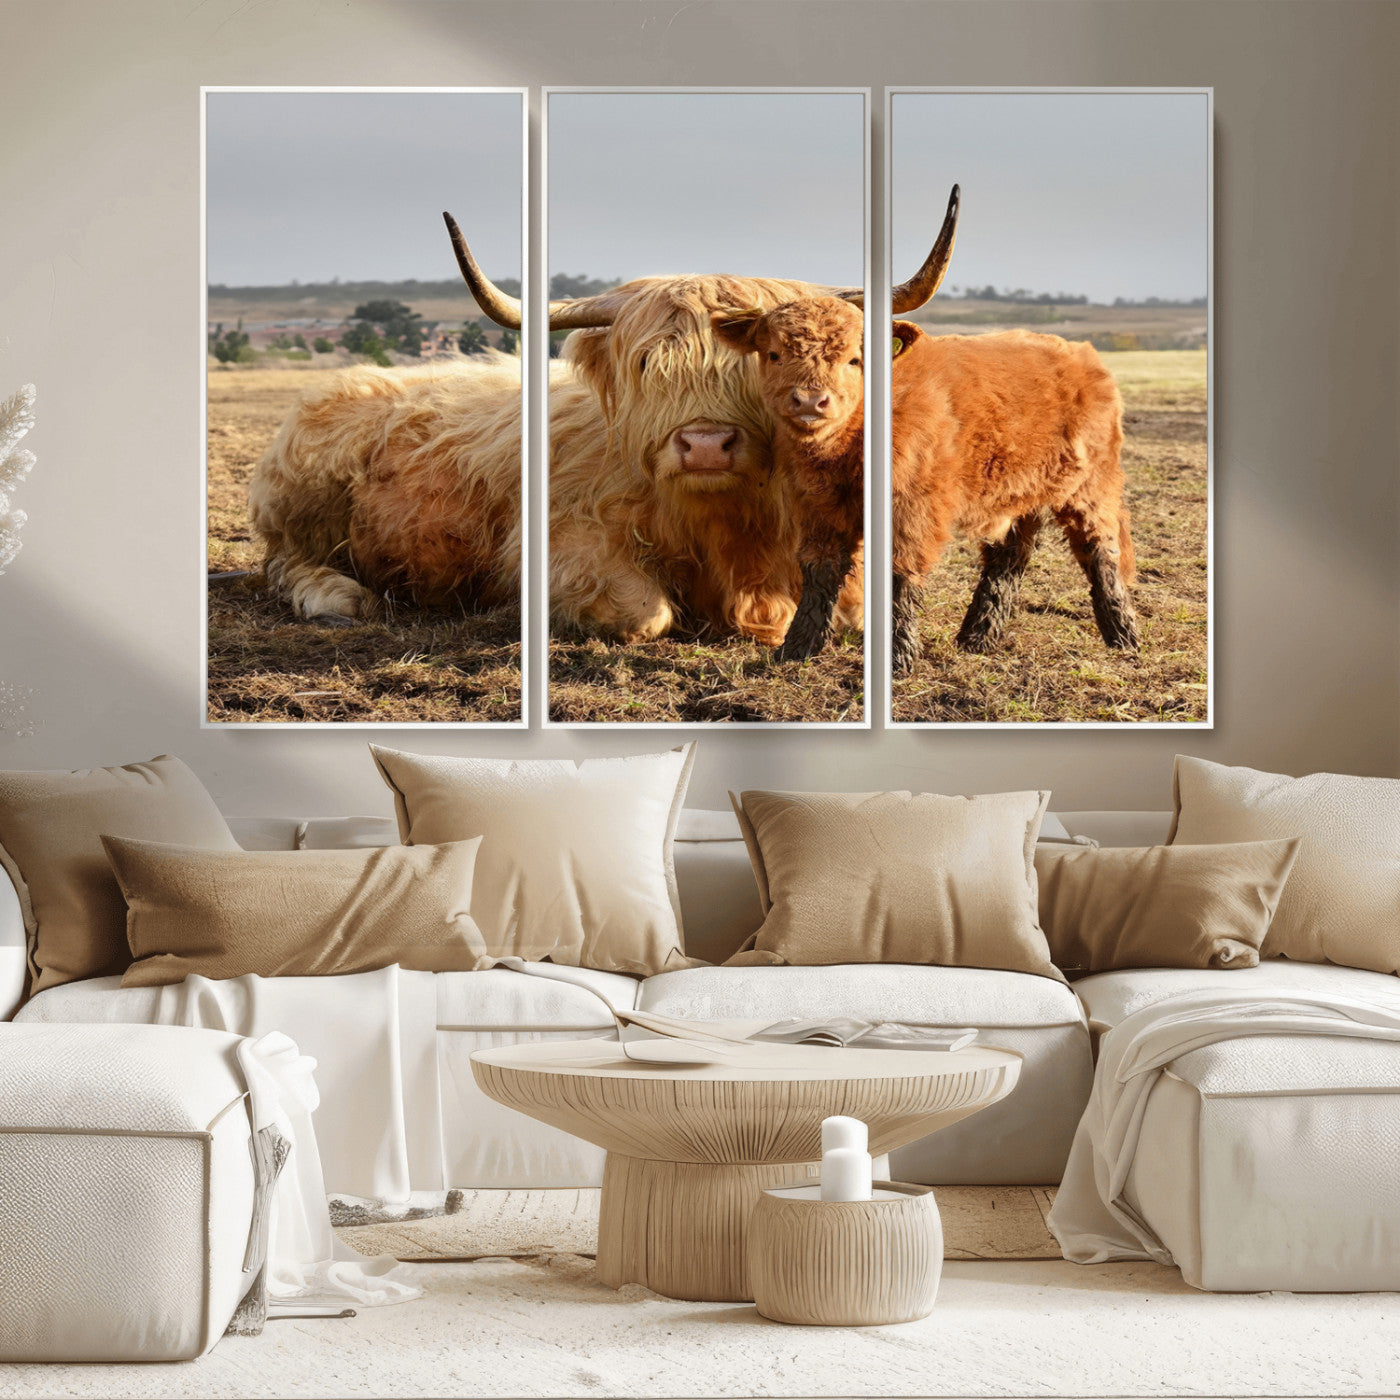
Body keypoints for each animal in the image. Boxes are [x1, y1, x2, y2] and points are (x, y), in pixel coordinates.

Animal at [247, 190, 963, 646]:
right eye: (647, 364)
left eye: (763, 359)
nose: (706, 445)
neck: (727, 524)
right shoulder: (560, 547)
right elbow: (645, 613)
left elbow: (852, 610)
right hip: (303, 506)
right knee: (283, 564)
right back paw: (338, 599)